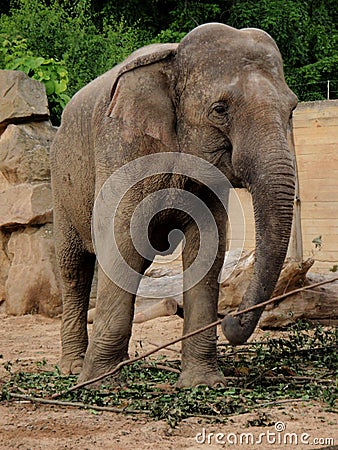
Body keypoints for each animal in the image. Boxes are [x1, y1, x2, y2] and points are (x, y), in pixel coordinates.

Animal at [49, 22, 296, 386]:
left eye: (292, 109)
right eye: (220, 109)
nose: (230, 320)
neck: (173, 57)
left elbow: (208, 246)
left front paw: (203, 384)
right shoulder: (122, 143)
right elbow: (121, 240)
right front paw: (99, 385)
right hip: (61, 182)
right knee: (74, 268)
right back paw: (73, 367)